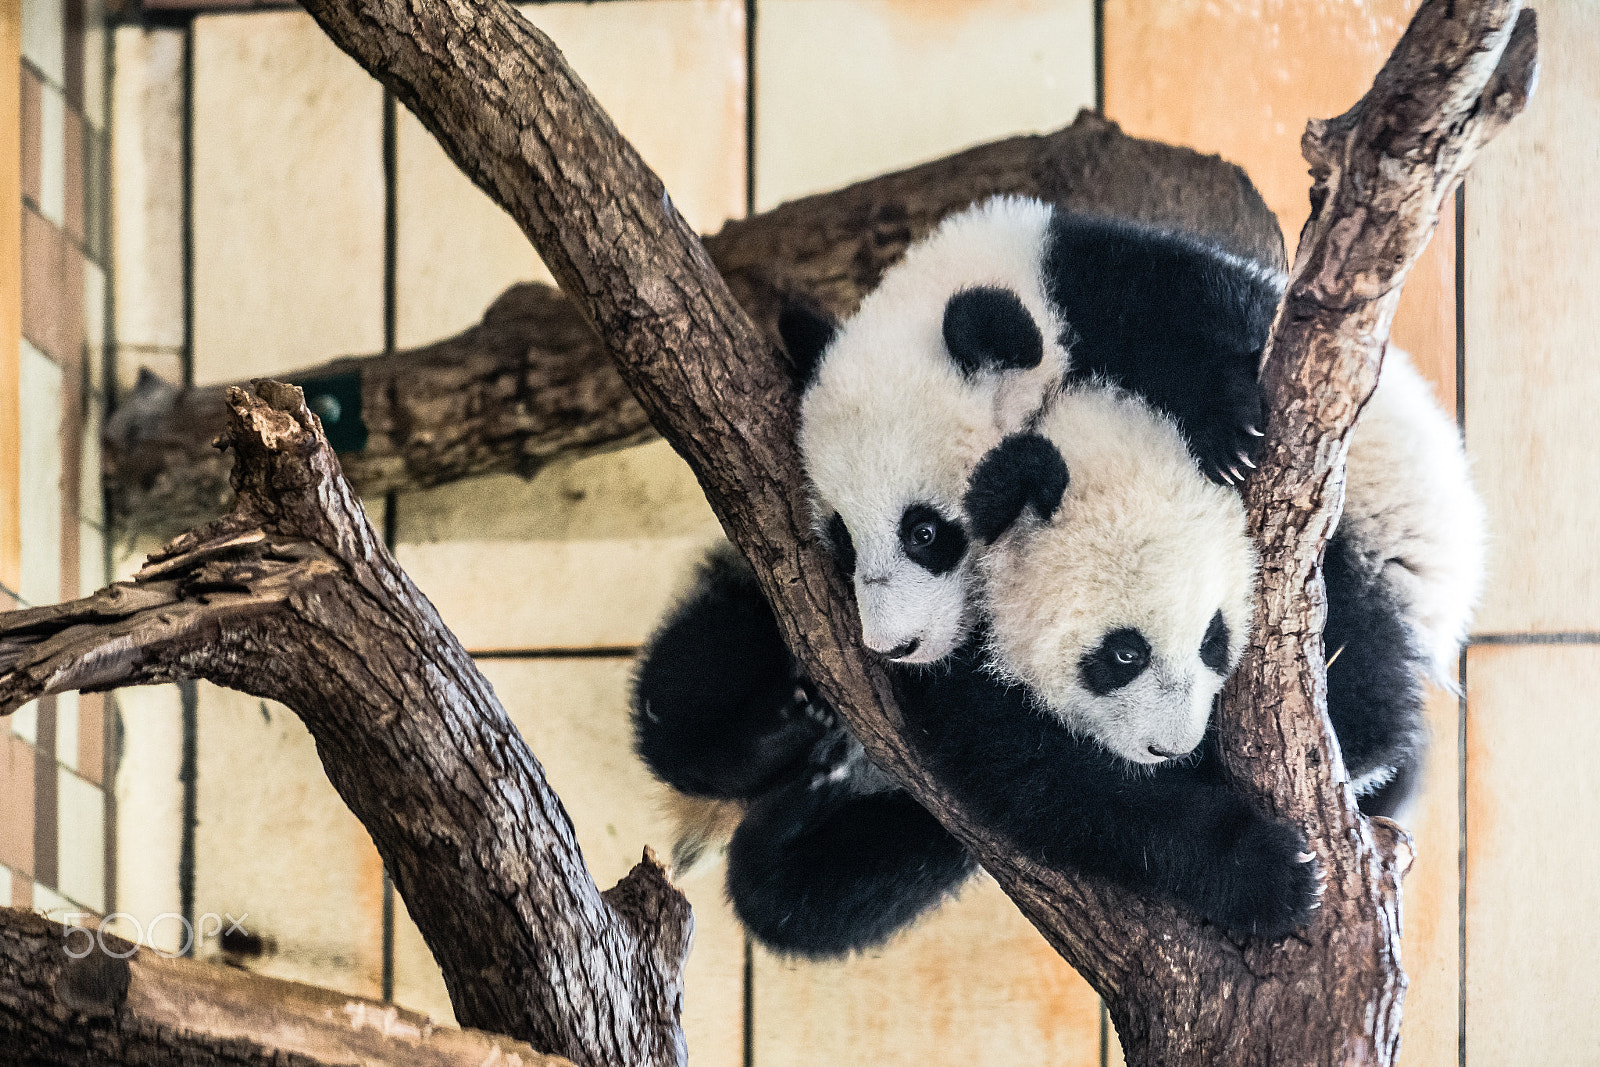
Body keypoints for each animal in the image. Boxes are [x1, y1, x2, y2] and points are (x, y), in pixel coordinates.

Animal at [784, 195, 1278, 667]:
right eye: (844, 542)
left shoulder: (1113, 285)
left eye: (923, 533)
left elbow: (1216, 313)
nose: (895, 647)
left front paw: (1228, 439)